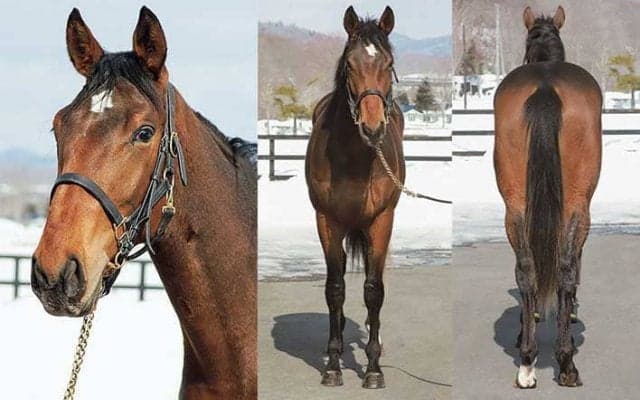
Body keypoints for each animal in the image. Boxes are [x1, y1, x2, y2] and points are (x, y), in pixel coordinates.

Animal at [305, 6, 404, 389]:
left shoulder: (381, 221)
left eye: (389, 63)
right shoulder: (327, 221)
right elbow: (335, 288)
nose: (373, 128)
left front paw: (374, 369)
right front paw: (333, 366)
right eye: (350, 64)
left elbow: (374, 290)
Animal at [493, 6, 601, 388]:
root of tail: (544, 87)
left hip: (514, 207)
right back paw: (566, 363)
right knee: (567, 268)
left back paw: (527, 361)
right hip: (577, 207)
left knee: (526, 268)